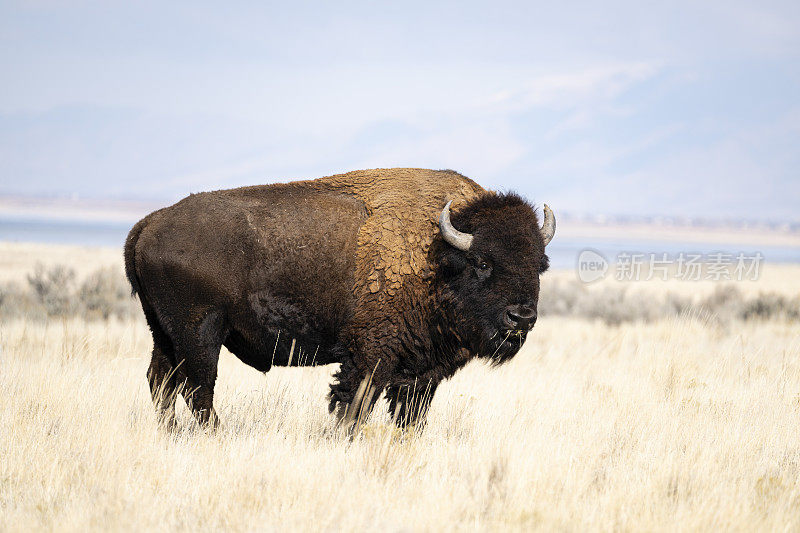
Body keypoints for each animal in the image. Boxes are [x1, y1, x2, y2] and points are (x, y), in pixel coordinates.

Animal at [123, 168, 556, 430]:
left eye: (540, 265)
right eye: (483, 262)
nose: (521, 317)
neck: (437, 255)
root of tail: (148, 224)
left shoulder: (421, 373)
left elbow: (410, 416)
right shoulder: (370, 357)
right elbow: (353, 407)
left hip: (164, 334)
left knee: (162, 382)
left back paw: (171, 433)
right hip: (199, 333)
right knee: (197, 387)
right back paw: (215, 435)